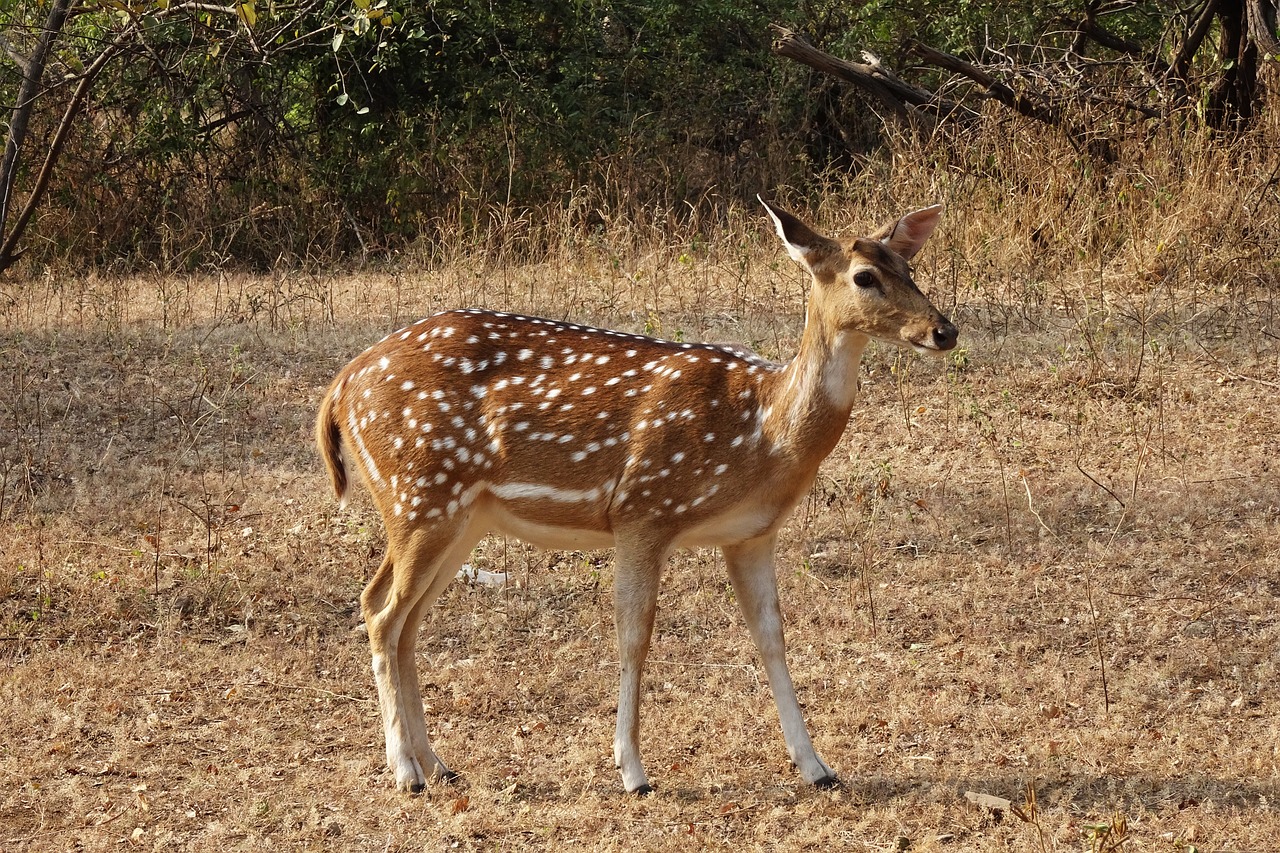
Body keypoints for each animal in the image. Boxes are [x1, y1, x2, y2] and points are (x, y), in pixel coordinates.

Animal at [317, 197, 962, 788]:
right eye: (865, 276)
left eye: (909, 265)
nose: (945, 330)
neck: (763, 432)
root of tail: (341, 386)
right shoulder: (644, 510)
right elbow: (635, 636)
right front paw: (632, 770)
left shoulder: (751, 535)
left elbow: (772, 637)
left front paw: (816, 766)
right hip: (419, 495)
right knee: (381, 611)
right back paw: (405, 771)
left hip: (459, 516)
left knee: (404, 618)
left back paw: (438, 765)